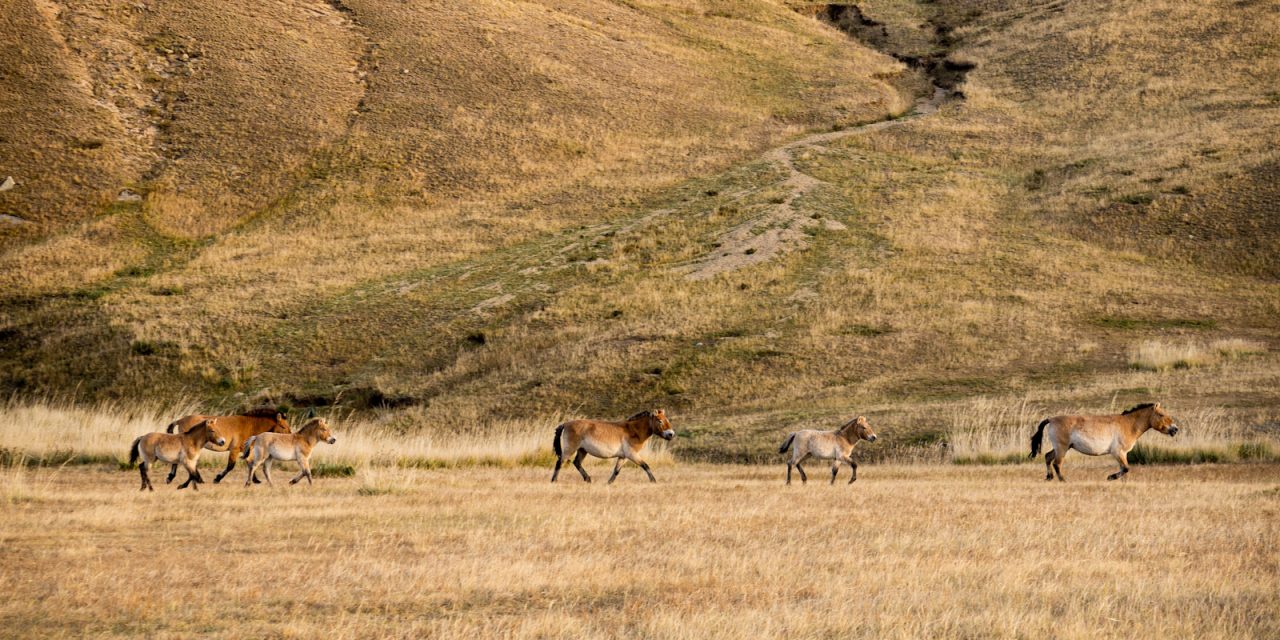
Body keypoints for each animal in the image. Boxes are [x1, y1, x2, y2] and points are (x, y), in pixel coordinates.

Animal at [1029, 402, 1180, 481]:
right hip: (1062, 448)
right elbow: (1126, 468)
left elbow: (1124, 469)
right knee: (1057, 463)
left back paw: (1049, 477)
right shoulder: (1118, 452)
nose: (1175, 429)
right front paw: (1111, 477)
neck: (1128, 425)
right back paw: (1063, 480)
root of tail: (1051, 419)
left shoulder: (1122, 454)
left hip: (1060, 448)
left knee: (1048, 457)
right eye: (1161, 414)